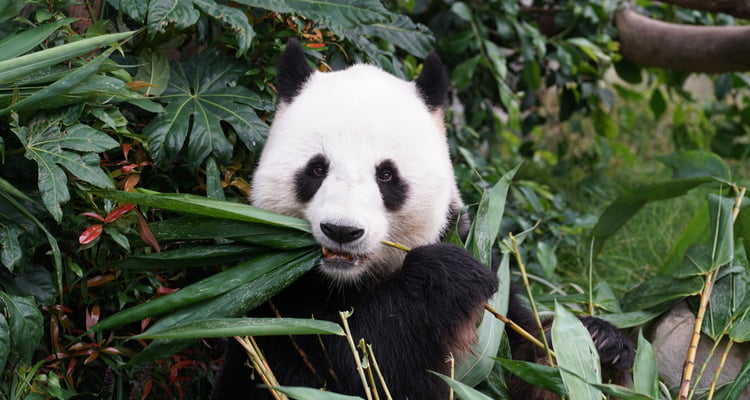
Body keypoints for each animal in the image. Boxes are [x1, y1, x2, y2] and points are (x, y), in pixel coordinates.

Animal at [210, 40, 636, 400]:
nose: (342, 231)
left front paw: (595, 345)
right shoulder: (275, 299)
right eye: (317, 169)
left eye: (386, 175)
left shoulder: (481, 276)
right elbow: (360, 365)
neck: (350, 281)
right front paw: (450, 273)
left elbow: (521, 357)